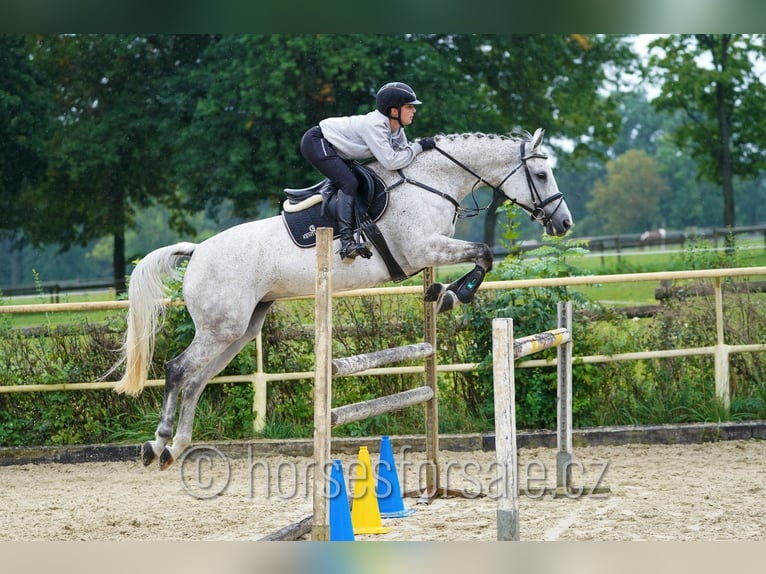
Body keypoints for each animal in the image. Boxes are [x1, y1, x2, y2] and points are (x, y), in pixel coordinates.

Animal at [111, 128, 573, 470]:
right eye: (542, 175)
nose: (564, 223)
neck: (432, 181)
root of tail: (197, 251)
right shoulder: (424, 248)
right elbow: (485, 253)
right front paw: (451, 296)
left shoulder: (432, 250)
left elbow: (480, 256)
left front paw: (440, 293)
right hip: (220, 327)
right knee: (177, 370)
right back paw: (158, 444)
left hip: (240, 329)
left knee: (196, 380)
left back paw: (176, 447)